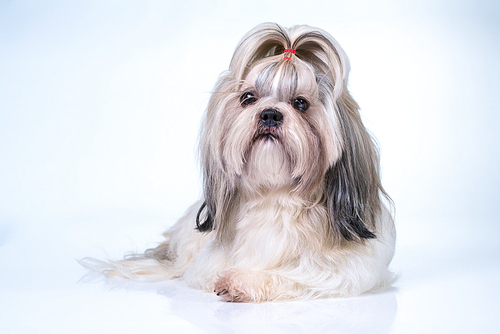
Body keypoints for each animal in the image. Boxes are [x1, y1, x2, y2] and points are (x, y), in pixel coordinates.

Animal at [81, 22, 394, 302]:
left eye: (300, 103)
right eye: (248, 98)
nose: (270, 114)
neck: (275, 197)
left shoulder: (343, 271)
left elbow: (297, 275)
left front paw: (242, 282)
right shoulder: (208, 262)